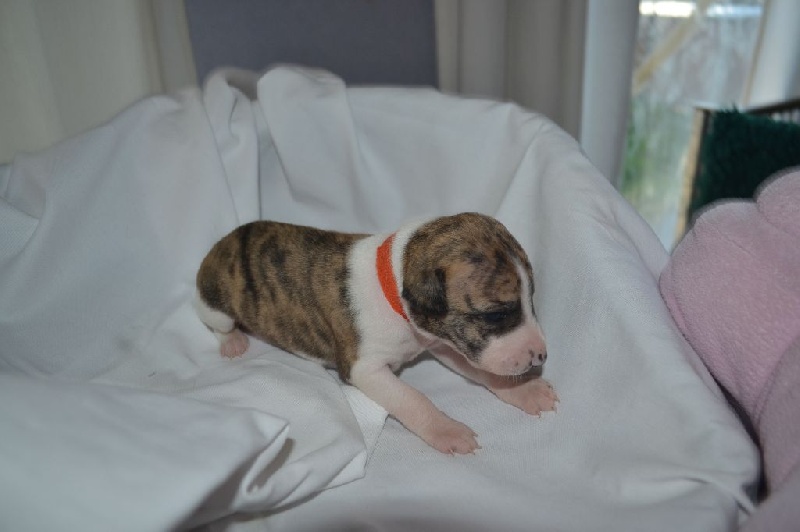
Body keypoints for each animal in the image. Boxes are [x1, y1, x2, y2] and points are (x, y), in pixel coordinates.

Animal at [194, 212, 557, 454]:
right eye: (496, 314)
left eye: (530, 300)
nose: (541, 356)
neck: (394, 282)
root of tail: (224, 241)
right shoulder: (365, 368)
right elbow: (412, 399)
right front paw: (447, 430)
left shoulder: (444, 339)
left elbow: (480, 369)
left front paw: (525, 390)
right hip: (216, 303)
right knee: (217, 323)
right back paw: (233, 342)